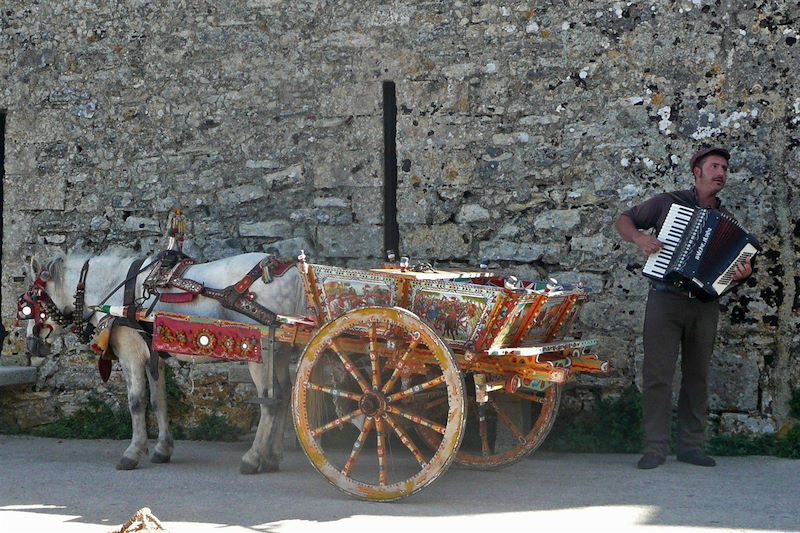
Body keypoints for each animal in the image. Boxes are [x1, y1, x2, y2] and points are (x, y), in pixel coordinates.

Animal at [19, 250, 306, 474]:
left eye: (32, 301)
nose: (31, 344)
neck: (117, 289)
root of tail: (288, 271)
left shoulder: (131, 352)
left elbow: (136, 402)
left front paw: (132, 452)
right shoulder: (152, 355)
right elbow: (159, 401)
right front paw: (162, 449)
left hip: (261, 352)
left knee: (269, 399)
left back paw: (254, 457)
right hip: (279, 352)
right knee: (284, 394)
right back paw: (272, 456)